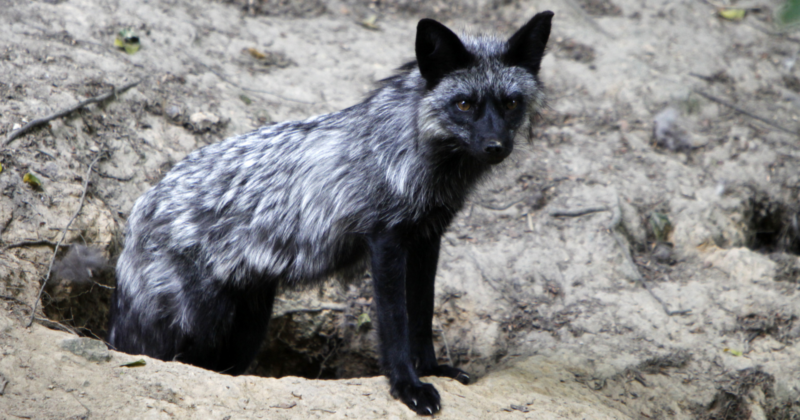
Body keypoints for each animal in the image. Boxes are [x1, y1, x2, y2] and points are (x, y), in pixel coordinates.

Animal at [108, 12, 553, 415]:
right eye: (463, 104)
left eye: (511, 103)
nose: (496, 146)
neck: (412, 149)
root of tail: (141, 209)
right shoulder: (386, 241)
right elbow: (396, 323)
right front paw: (407, 386)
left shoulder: (427, 238)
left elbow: (422, 315)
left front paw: (430, 369)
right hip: (196, 327)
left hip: (247, 328)